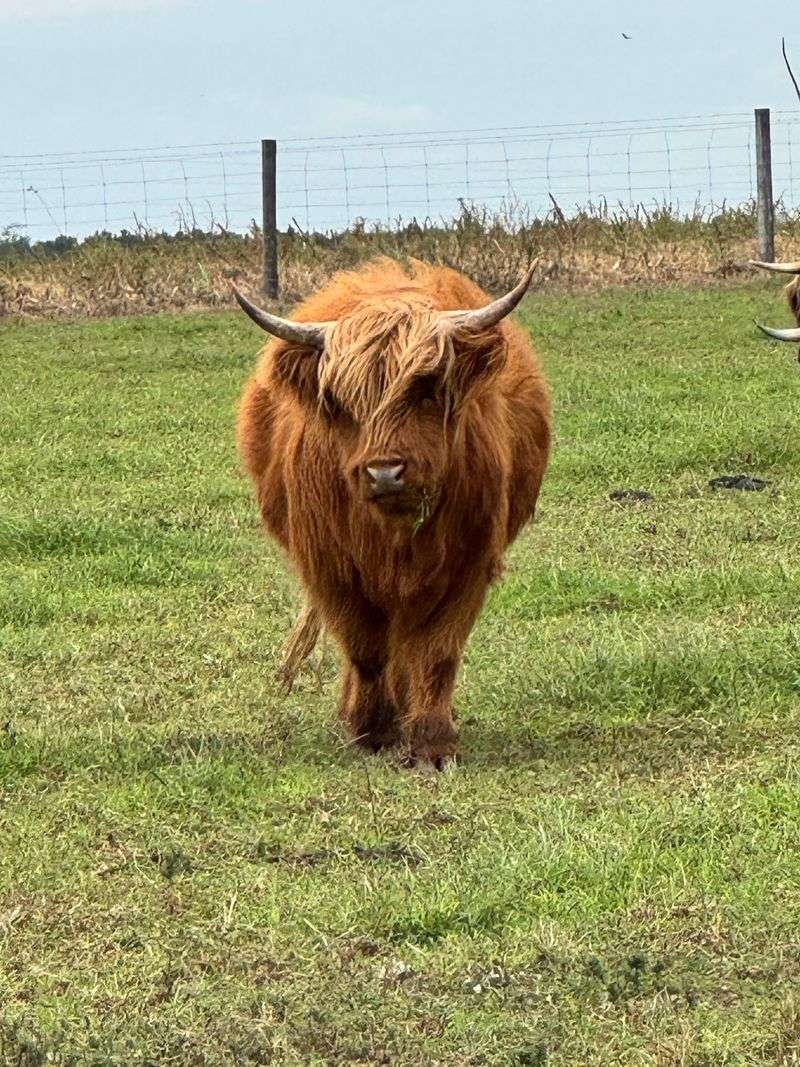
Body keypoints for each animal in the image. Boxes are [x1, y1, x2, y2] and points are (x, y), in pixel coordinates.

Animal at [234, 258, 551, 770]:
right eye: (339, 400)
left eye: (425, 389)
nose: (384, 473)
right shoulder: (332, 568)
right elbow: (365, 649)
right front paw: (372, 730)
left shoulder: (468, 562)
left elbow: (437, 653)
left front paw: (433, 742)